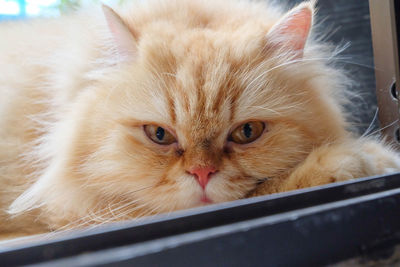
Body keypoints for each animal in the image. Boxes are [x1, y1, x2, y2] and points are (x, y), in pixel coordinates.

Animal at [0, 0, 400, 239]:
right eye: (159, 135)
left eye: (248, 132)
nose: (202, 173)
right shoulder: (79, 212)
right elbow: (275, 187)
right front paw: (360, 159)